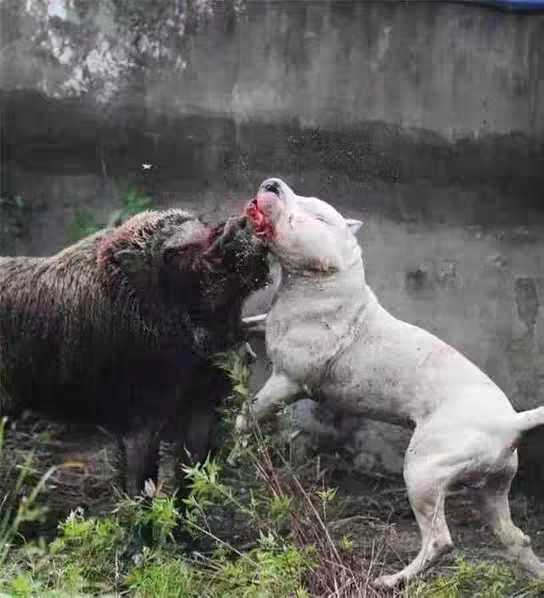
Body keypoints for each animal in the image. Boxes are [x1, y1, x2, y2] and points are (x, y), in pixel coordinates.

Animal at [236, 178, 544, 592]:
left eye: (316, 214)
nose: (272, 184)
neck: (327, 279)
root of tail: (511, 421)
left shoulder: (287, 381)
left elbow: (249, 412)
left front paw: (234, 449)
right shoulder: (268, 324)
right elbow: (247, 325)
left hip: (424, 469)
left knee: (440, 541)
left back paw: (390, 580)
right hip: (492, 486)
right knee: (516, 538)